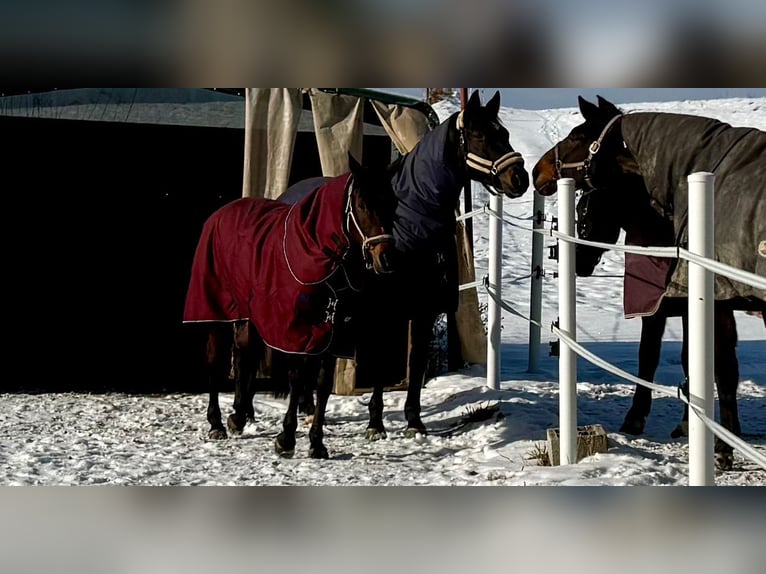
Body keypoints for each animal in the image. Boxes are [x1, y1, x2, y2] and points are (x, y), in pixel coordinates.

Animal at [183, 153, 400, 459]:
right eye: (362, 205)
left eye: (392, 202)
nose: (387, 258)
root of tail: (221, 213)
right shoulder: (294, 329)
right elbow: (297, 378)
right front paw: (286, 438)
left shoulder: (331, 332)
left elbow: (322, 385)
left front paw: (317, 443)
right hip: (216, 310)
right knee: (216, 360)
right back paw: (217, 423)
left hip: (247, 315)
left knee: (244, 354)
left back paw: (239, 414)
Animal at [574, 174, 741, 448]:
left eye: (588, 214)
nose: (580, 262)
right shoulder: (674, 311)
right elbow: (665, 357)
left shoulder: (674, 311)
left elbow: (666, 357)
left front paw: (639, 418)